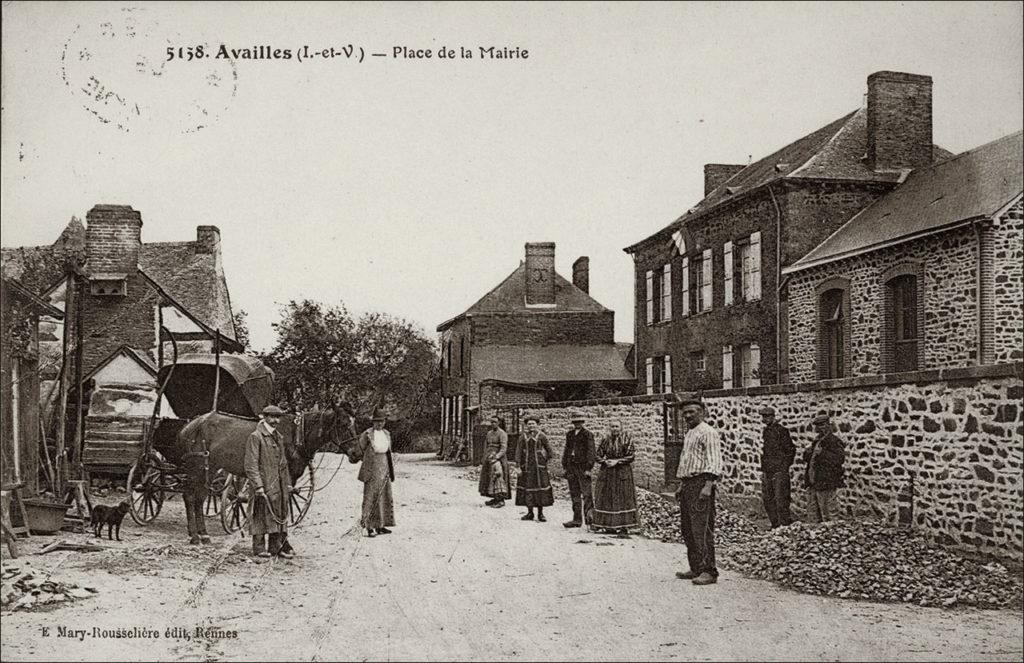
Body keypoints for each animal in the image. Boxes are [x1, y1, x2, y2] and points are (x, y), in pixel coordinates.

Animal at [172, 403, 356, 545]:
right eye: (343, 423)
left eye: (353, 423)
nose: (355, 453)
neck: (296, 435)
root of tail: (189, 426)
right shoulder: (285, 478)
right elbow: (283, 506)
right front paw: (281, 542)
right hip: (196, 468)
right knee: (190, 498)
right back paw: (195, 536)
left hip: (207, 471)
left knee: (199, 500)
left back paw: (203, 534)